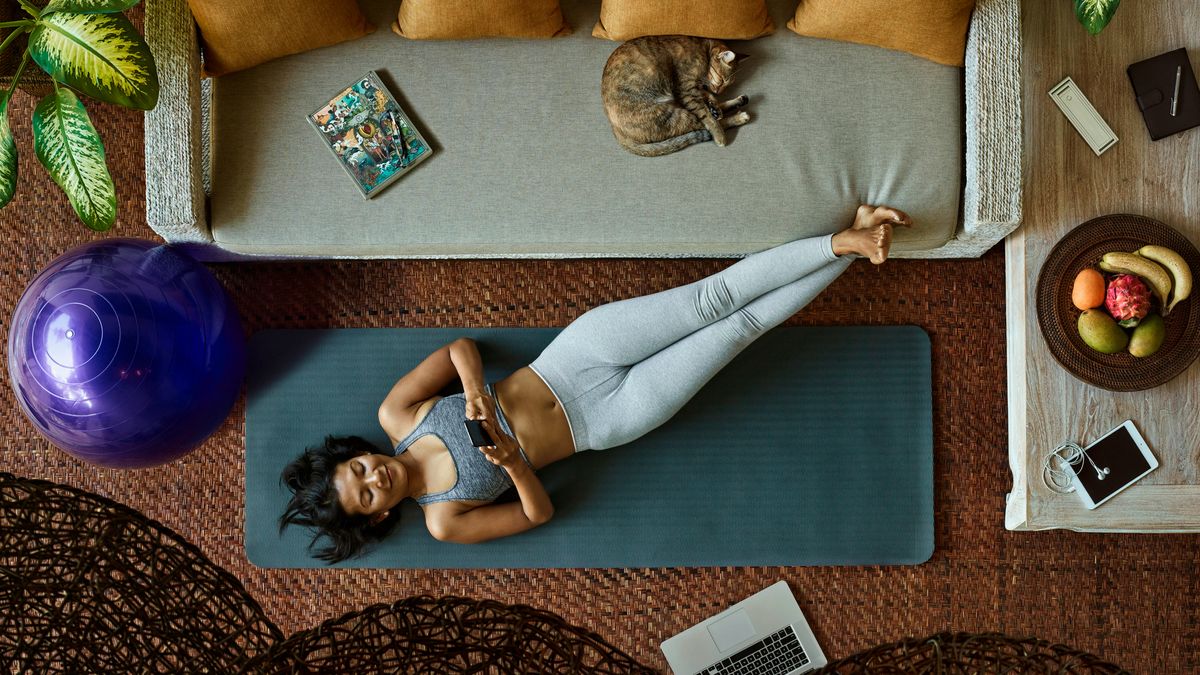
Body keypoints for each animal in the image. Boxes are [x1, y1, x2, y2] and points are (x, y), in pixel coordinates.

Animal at [600, 37, 748, 157]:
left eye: (729, 84)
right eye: (722, 80)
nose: (720, 91)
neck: (704, 48)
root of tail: (615, 130)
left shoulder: (694, 89)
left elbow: (708, 96)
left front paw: (714, 104)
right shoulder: (686, 89)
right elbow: (708, 117)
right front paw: (719, 133)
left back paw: (733, 103)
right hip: (673, 115)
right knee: (703, 124)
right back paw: (737, 118)